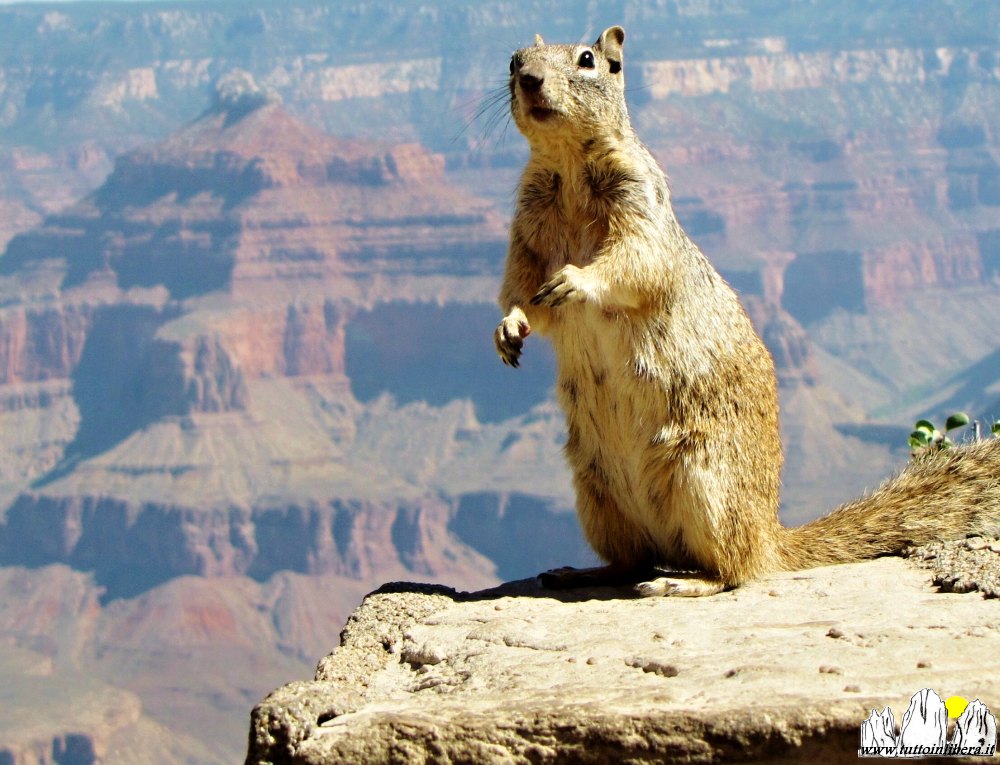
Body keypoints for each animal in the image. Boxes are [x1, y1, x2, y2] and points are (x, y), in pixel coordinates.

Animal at [492, 25, 1000, 596]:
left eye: (587, 60)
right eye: (513, 60)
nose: (529, 79)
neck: (569, 169)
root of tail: (770, 536)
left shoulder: (641, 210)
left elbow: (635, 263)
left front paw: (576, 280)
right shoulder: (525, 232)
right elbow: (519, 288)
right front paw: (508, 329)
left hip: (704, 482)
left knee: (734, 570)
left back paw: (684, 583)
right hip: (595, 490)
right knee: (632, 559)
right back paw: (579, 572)